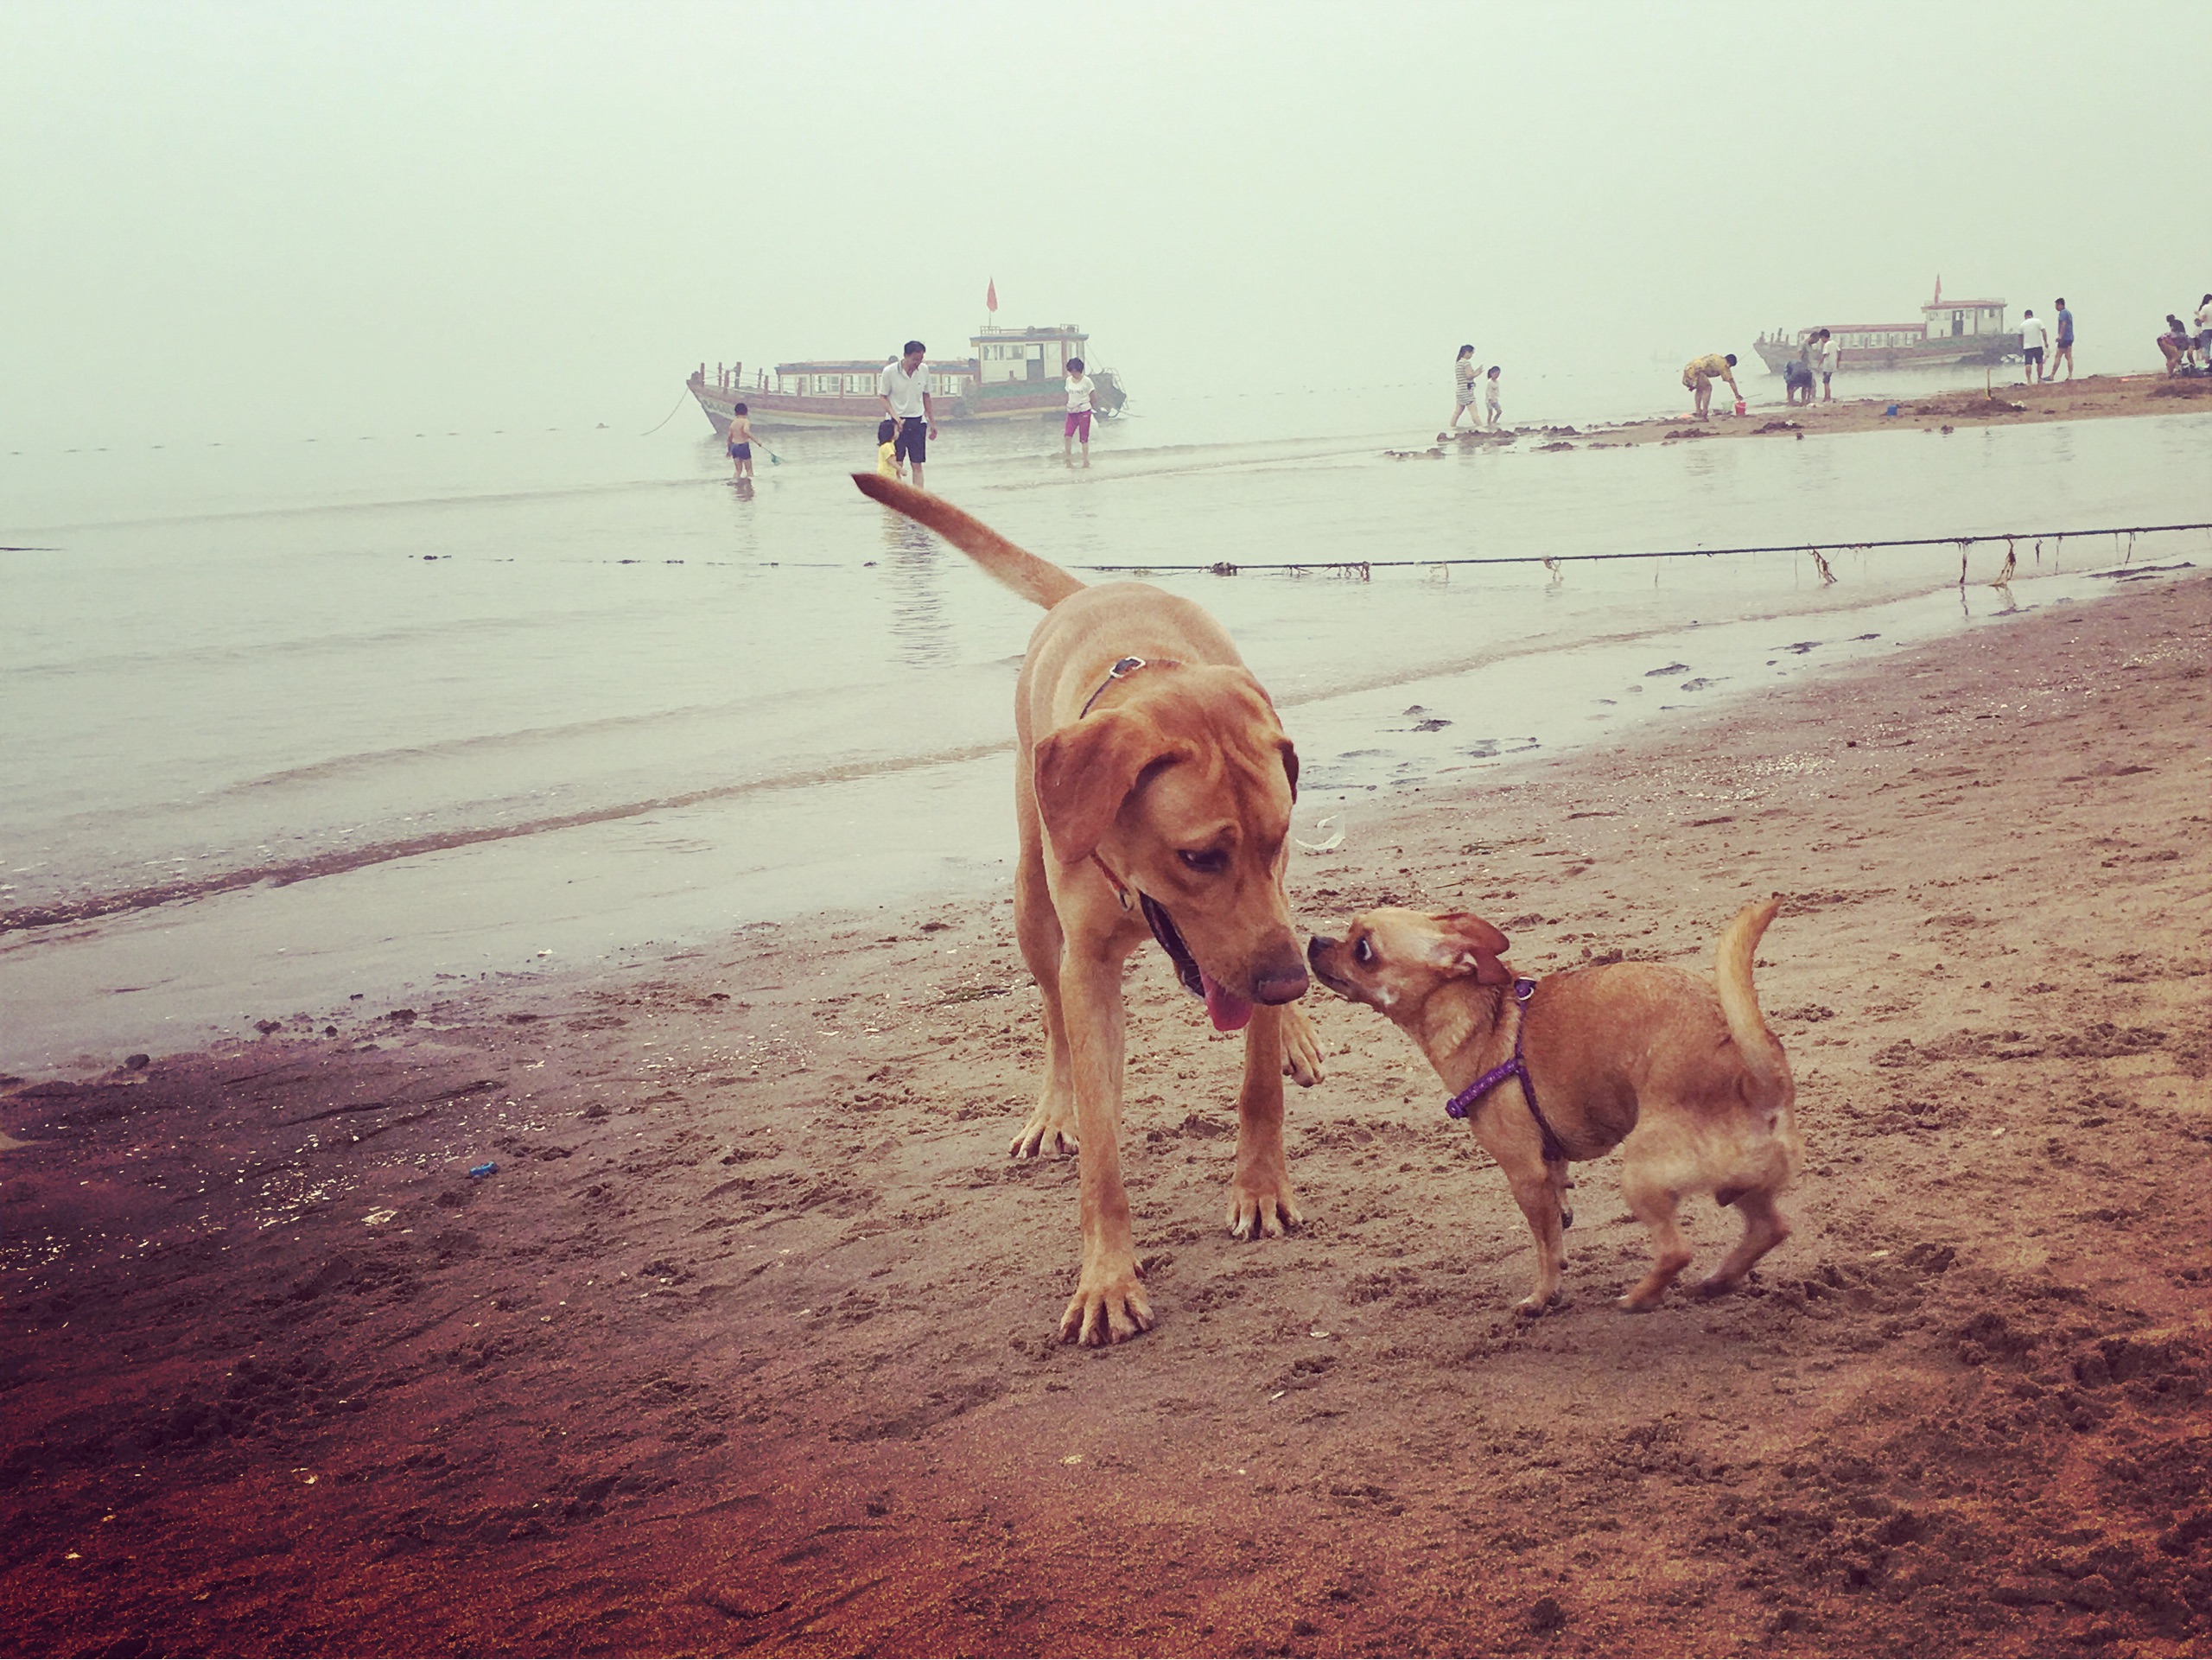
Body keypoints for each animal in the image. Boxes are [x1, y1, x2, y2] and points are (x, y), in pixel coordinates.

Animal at [854, 471, 1318, 1354]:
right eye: (1199, 857)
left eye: (1274, 838)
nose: (1287, 984)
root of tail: (1086, 589)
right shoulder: (1092, 964)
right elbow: (1102, 1152)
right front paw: (1108, 1279)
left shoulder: (1272, 910)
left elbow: (1256, 1089)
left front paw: (1261, 1185)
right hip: (1032, 906)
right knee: (1051, 1018)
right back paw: (1054, 1108)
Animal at [1309, 903, 1796, 1319]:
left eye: (1363, 949)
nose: (1315, 939)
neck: (1485, 1019)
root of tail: (1754, 1077)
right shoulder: (1550, 1161)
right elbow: (1558, 1214)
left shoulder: (1524, 1175)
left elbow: (1543, 1245)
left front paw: (1543, 1296)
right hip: (1744, 1186)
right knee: (1769, 1229)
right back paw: (1717, 1282)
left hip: (1642, 1176)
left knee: (1678, 1250)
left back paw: (1640, 1298)